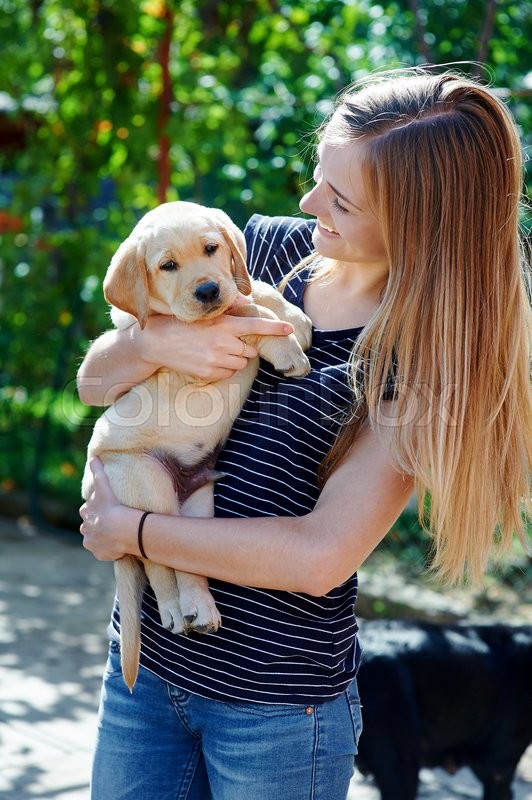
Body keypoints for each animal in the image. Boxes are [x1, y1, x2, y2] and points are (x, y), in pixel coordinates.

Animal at [82, 202, 312, 692]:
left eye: (211, 249)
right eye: (167, 266)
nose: (207, 290)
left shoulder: (234, 283)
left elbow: (253, 288)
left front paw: (294, 318)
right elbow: (243, 311)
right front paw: (284, 344)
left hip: (197, 504)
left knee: (186, 559)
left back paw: (200, 609)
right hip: (147, 483)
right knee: (156, 563)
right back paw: (174, 611)